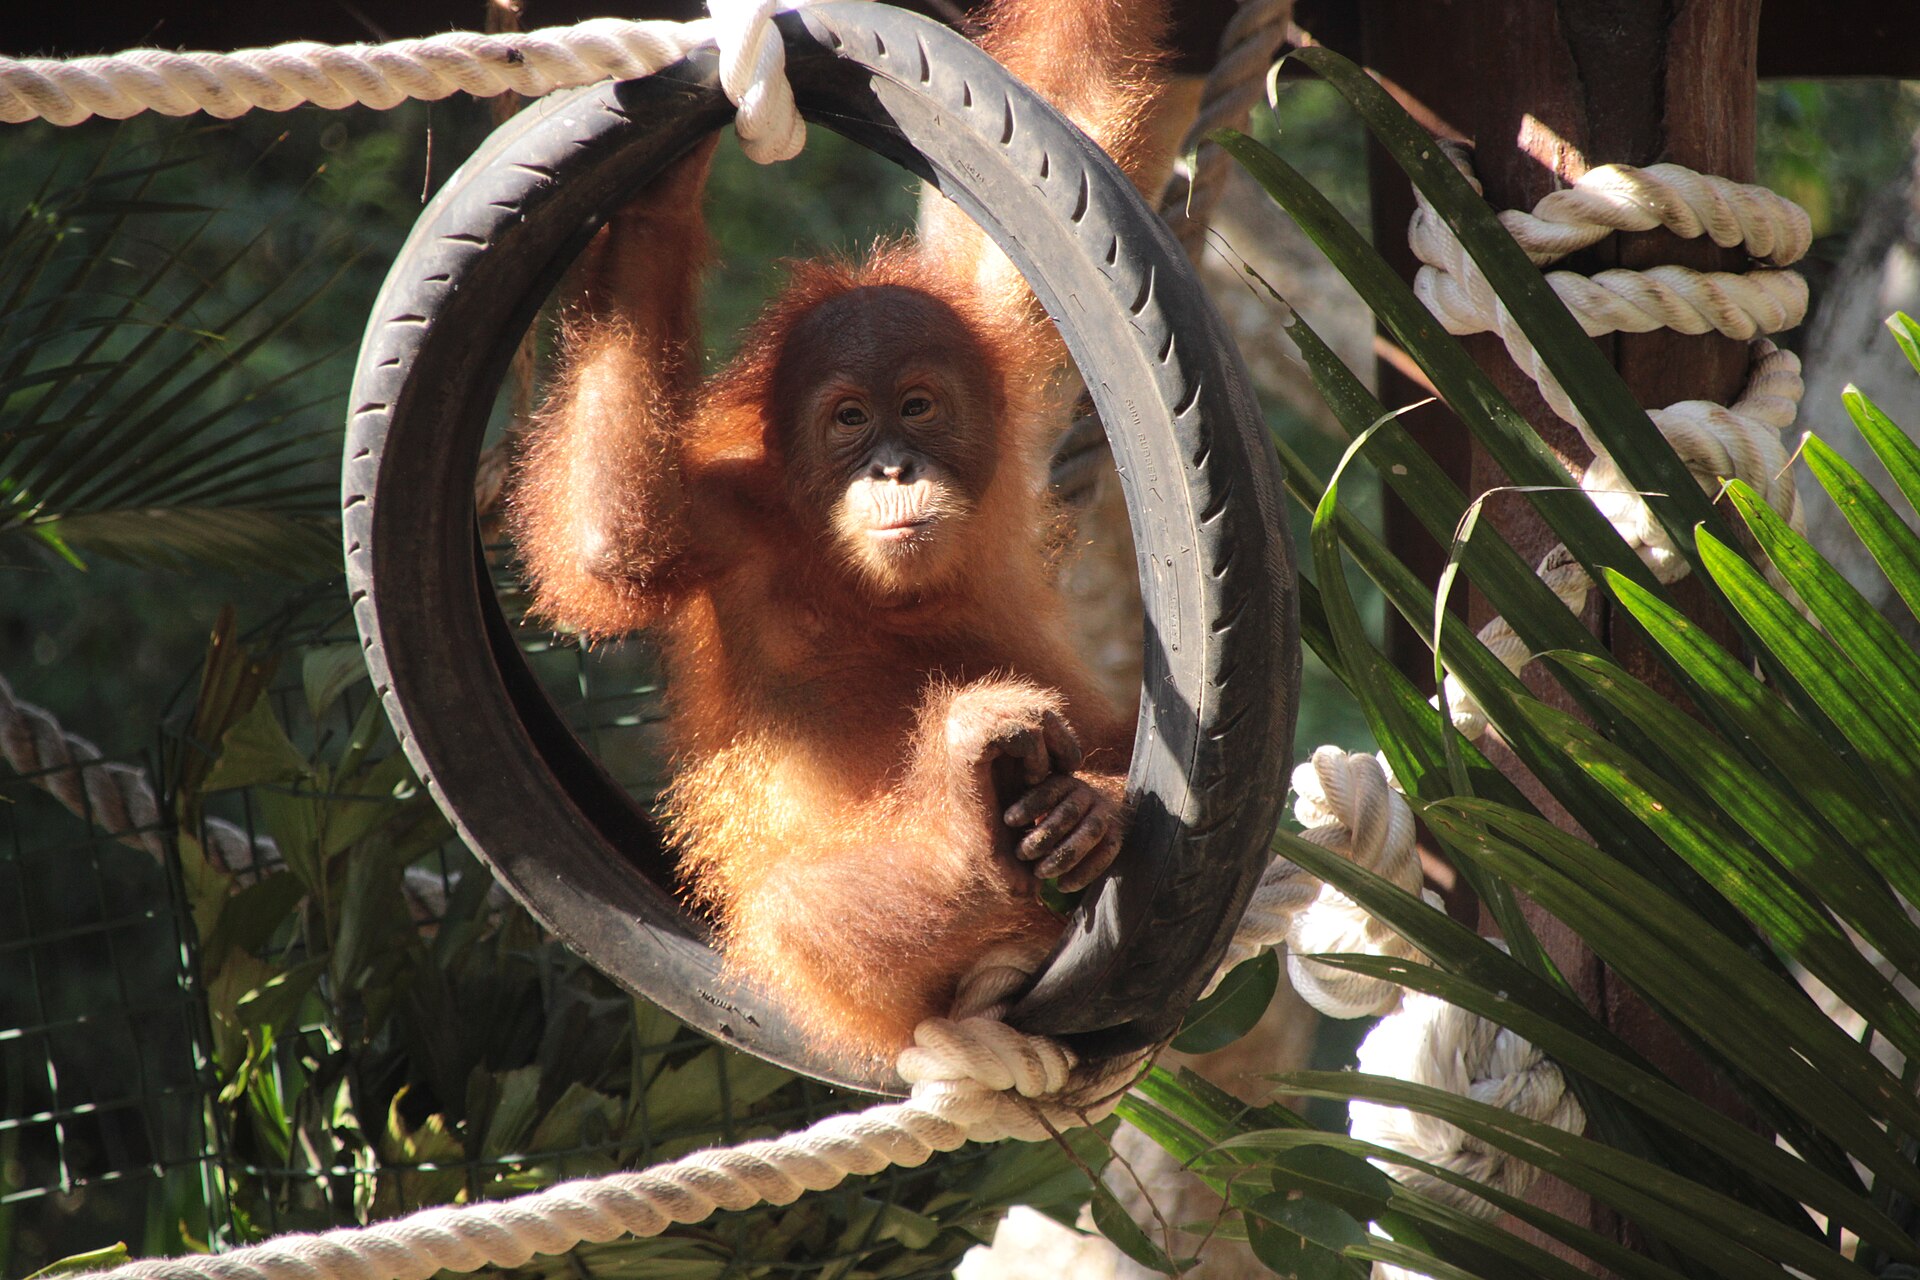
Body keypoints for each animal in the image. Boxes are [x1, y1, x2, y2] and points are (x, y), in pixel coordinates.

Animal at [508, 0, 1179, 1065]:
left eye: (918, 406)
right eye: (850, 420)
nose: (893, 469)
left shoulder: (998, 350)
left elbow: (1073, 102)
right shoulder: (734, 525)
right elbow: (615, 545)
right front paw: (660, 190)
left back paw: (1082, 811)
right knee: (802, 913)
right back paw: (969, 821)